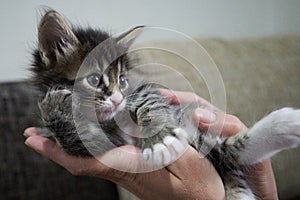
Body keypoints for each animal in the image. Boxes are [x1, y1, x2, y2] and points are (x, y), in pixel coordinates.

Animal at [31, 10, 300, 199]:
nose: (117, 100)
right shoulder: (99, 143)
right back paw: (284, 126)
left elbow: (150, 103)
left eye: (122, 80)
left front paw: (159, 140)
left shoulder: (145, 92)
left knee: (225, 149)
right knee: (225, 152)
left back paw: (283, 123)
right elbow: (75, 136)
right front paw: (53, 105)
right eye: (94, 80)